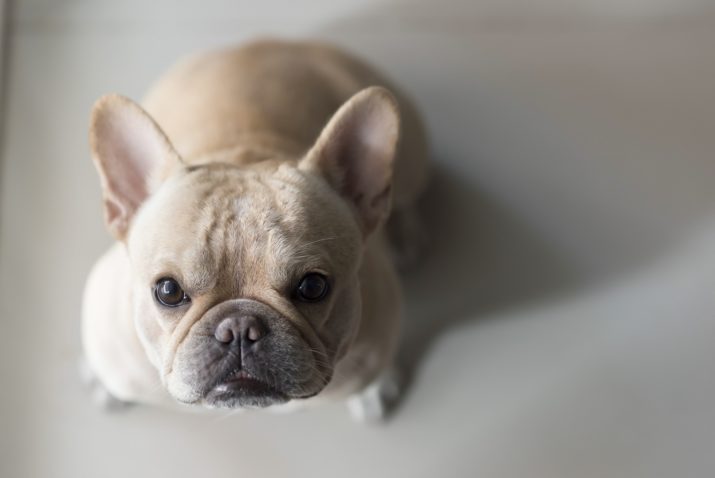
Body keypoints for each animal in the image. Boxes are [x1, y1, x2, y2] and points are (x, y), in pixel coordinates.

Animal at [84, 41, 430, 422]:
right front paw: (99, 380)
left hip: (412, 161)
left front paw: (375, 387)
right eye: (168, 291)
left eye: (313, 286)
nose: (238, 329)